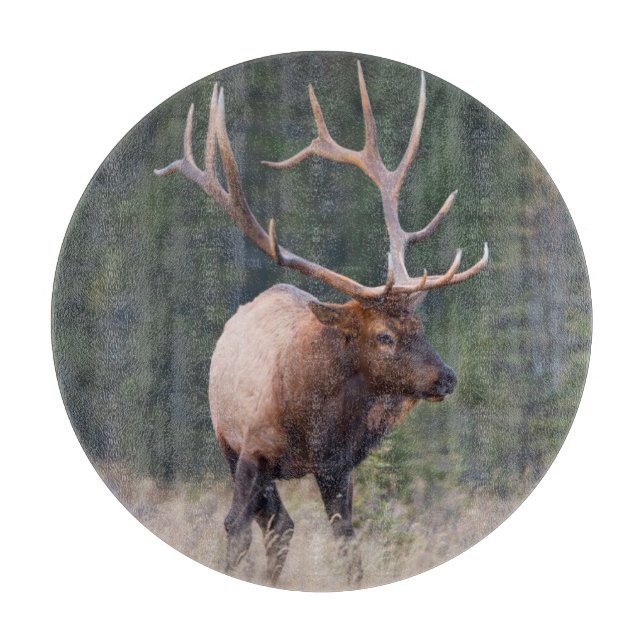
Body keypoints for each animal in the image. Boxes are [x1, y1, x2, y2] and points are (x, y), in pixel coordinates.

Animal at [155, 61, 489, 586]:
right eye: (384, 335)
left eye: (420, 327)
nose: (446, 378)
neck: (310, 421)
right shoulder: (250, 450)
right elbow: (234, 529)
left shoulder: (337, 466)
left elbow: (348, 545)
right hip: (226, 439)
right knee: (274, 523)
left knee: (283, 525)